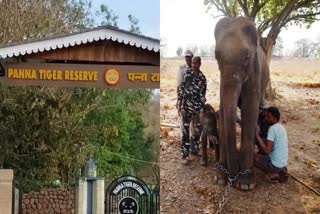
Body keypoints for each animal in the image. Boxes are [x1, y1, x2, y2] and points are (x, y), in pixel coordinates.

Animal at [215, 17, 270, 191]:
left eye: (246, 58)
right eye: (216, 57)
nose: (232, 178)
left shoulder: (255, 73)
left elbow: (249, 110)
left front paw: (246, 184)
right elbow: (223, 110)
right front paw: (219, 178)